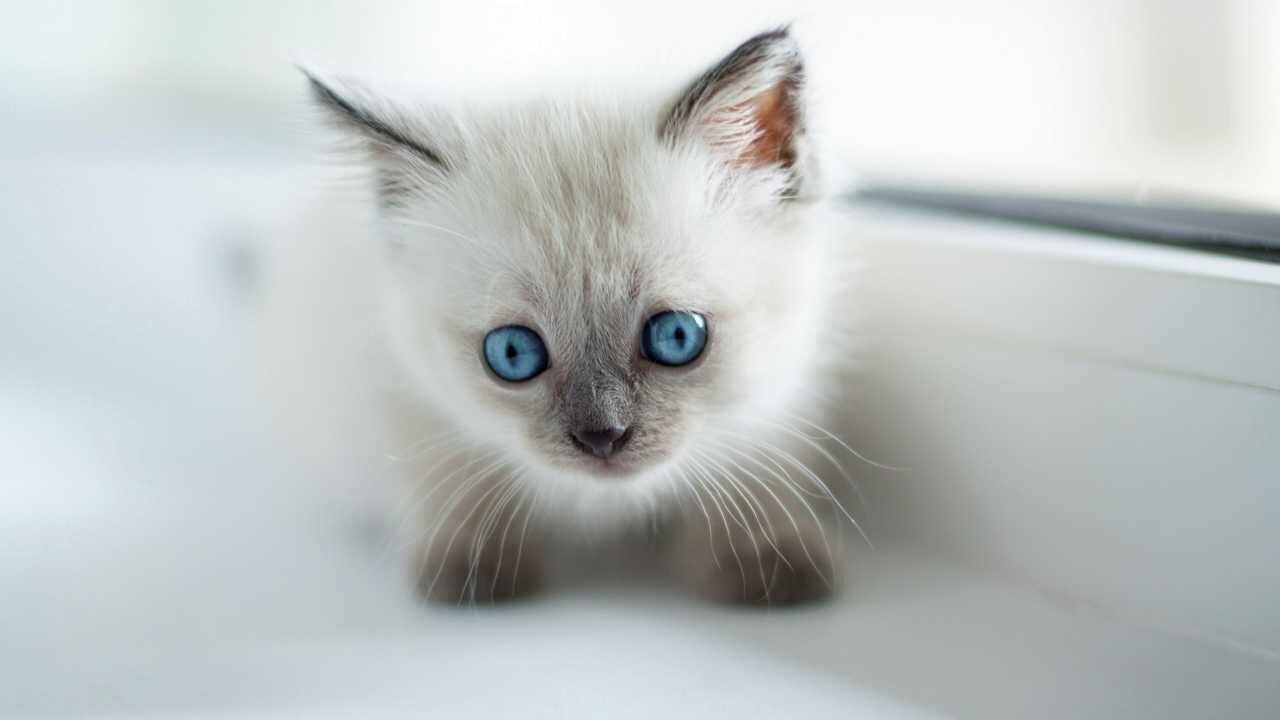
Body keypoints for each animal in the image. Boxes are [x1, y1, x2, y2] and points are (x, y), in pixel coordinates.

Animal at [304, 27, 861, 606]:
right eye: (513, 353)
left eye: (676, 337)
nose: (602, 438)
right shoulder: (404, 390)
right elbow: (455, 474)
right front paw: (474, 567)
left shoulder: (779, 392)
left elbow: (752, 471)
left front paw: (765, 561)